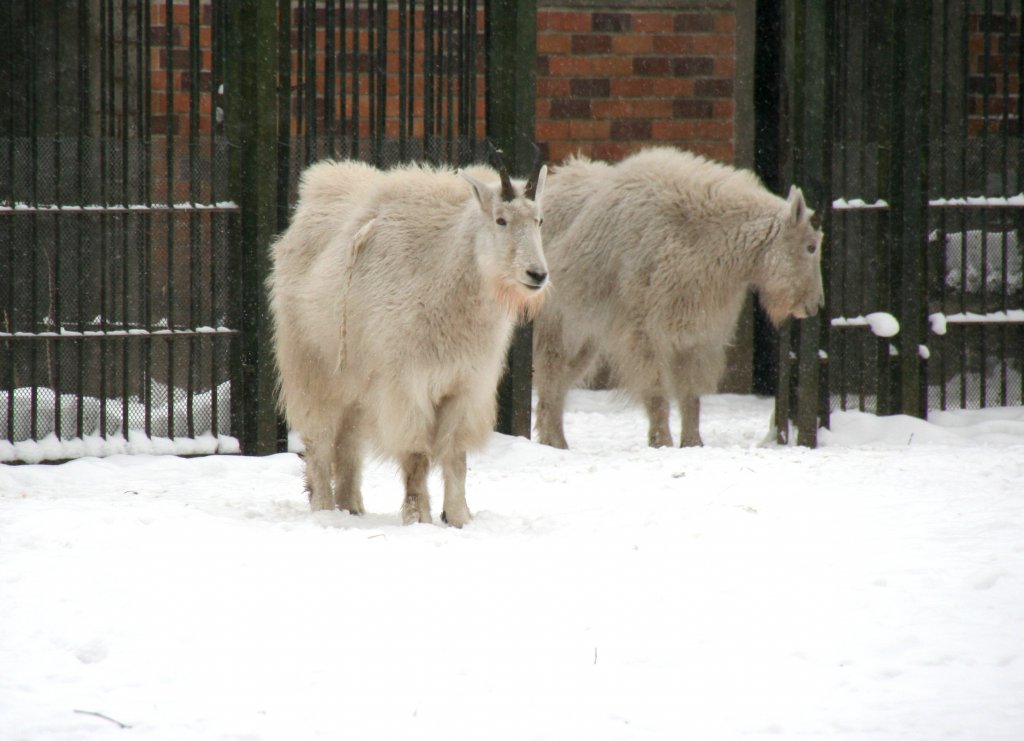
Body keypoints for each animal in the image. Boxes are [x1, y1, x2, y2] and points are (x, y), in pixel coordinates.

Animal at [268, 147, 548, 524]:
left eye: (539, 221)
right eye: (500, 220)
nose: (537, 275)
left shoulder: (464, 386)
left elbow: (456, 455)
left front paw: (458, 517)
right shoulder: (406, 385)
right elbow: (416, 454)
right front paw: (419, 518)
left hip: (358, 383)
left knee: (348, 441)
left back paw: (351, 505)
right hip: (312, 368)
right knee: (320, 440)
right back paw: (324, 507)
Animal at [536, 144, 823, 446]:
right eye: (811, 246)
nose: (814, 304)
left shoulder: (696, 333)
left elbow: (690, 394)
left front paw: (693, 443)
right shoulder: (644, 331)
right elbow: (656, 389)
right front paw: (662, 441)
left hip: (585, 337)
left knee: (561, 381)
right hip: (555, 326)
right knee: (550, 377)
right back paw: (554, 443)